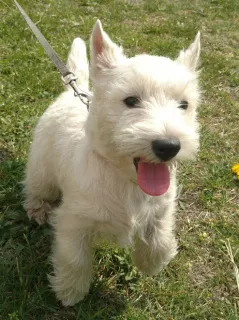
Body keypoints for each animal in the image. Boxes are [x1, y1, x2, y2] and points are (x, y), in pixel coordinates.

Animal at [23, 20, 200, 304]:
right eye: (131, 101)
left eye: (184, 104)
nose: (168, 146)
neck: (125, 180)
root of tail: (72, 91)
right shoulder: (73, 221)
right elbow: (75, 258)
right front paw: (70, 292)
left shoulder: (161, 210)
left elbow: (159, 240)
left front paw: (150, 263)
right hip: (41, 169)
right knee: (37, 189)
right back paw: (38, 209)